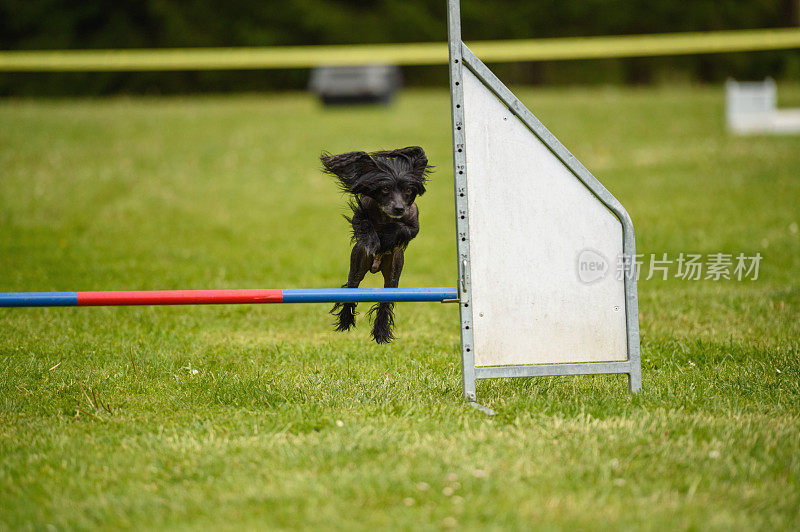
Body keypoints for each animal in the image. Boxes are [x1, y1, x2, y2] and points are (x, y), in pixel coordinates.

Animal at [320, 147, 432, 344]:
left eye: (408, 189)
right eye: (385, 188)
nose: (398, 208)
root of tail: (375, 267)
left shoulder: (413, 222)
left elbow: (402, 228)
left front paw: (386, 236)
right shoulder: (361, 213)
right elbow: (364, 223)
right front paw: (373, 241)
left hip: (394, 272)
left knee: (385, 300)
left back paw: (381, 330)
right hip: (358, 264)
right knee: (352, 288)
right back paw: (346, 319)